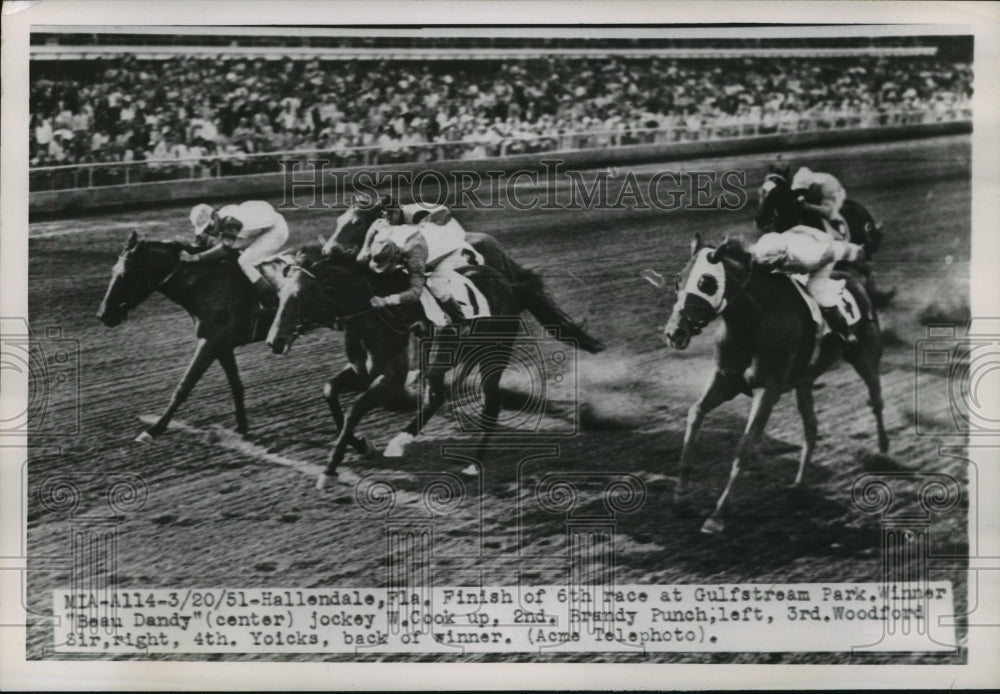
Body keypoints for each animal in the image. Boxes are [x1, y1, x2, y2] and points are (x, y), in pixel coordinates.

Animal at [98, 232, 288, 440]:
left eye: (126, 274)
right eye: (113, 271)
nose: (103, 314)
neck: (208, 286)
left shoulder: (209, 343)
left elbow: (184, 386)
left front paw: (153, 430)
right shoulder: (222, 346)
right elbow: (236, 386)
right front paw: (242, 428)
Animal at [266, 247, 564, 492]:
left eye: (301, 295)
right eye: (278, 295)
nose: (274, 341)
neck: (372, 314)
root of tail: (508, 284)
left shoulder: (392, 378)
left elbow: (354, 410)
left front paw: (329, 470)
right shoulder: (363, 373)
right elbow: (329, 390)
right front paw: (361, 445)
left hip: (493, 353)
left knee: (488, 405)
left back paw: (470, 464)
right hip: (453, 357)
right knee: (436, 395)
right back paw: (405, 441)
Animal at [664, 237, 884, 536]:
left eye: (706, 282)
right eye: (678, 279)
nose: (674, 333)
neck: (753, 321)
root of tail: (857, 280)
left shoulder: (767, 390)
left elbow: (746, 445)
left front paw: (718, 515)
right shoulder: (724, 380)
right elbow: (695, 413)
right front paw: (681, 496)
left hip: (864, 355)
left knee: (876, 397)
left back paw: (883, 450)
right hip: (804, 380)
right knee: (811, 427)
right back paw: (799, 486)